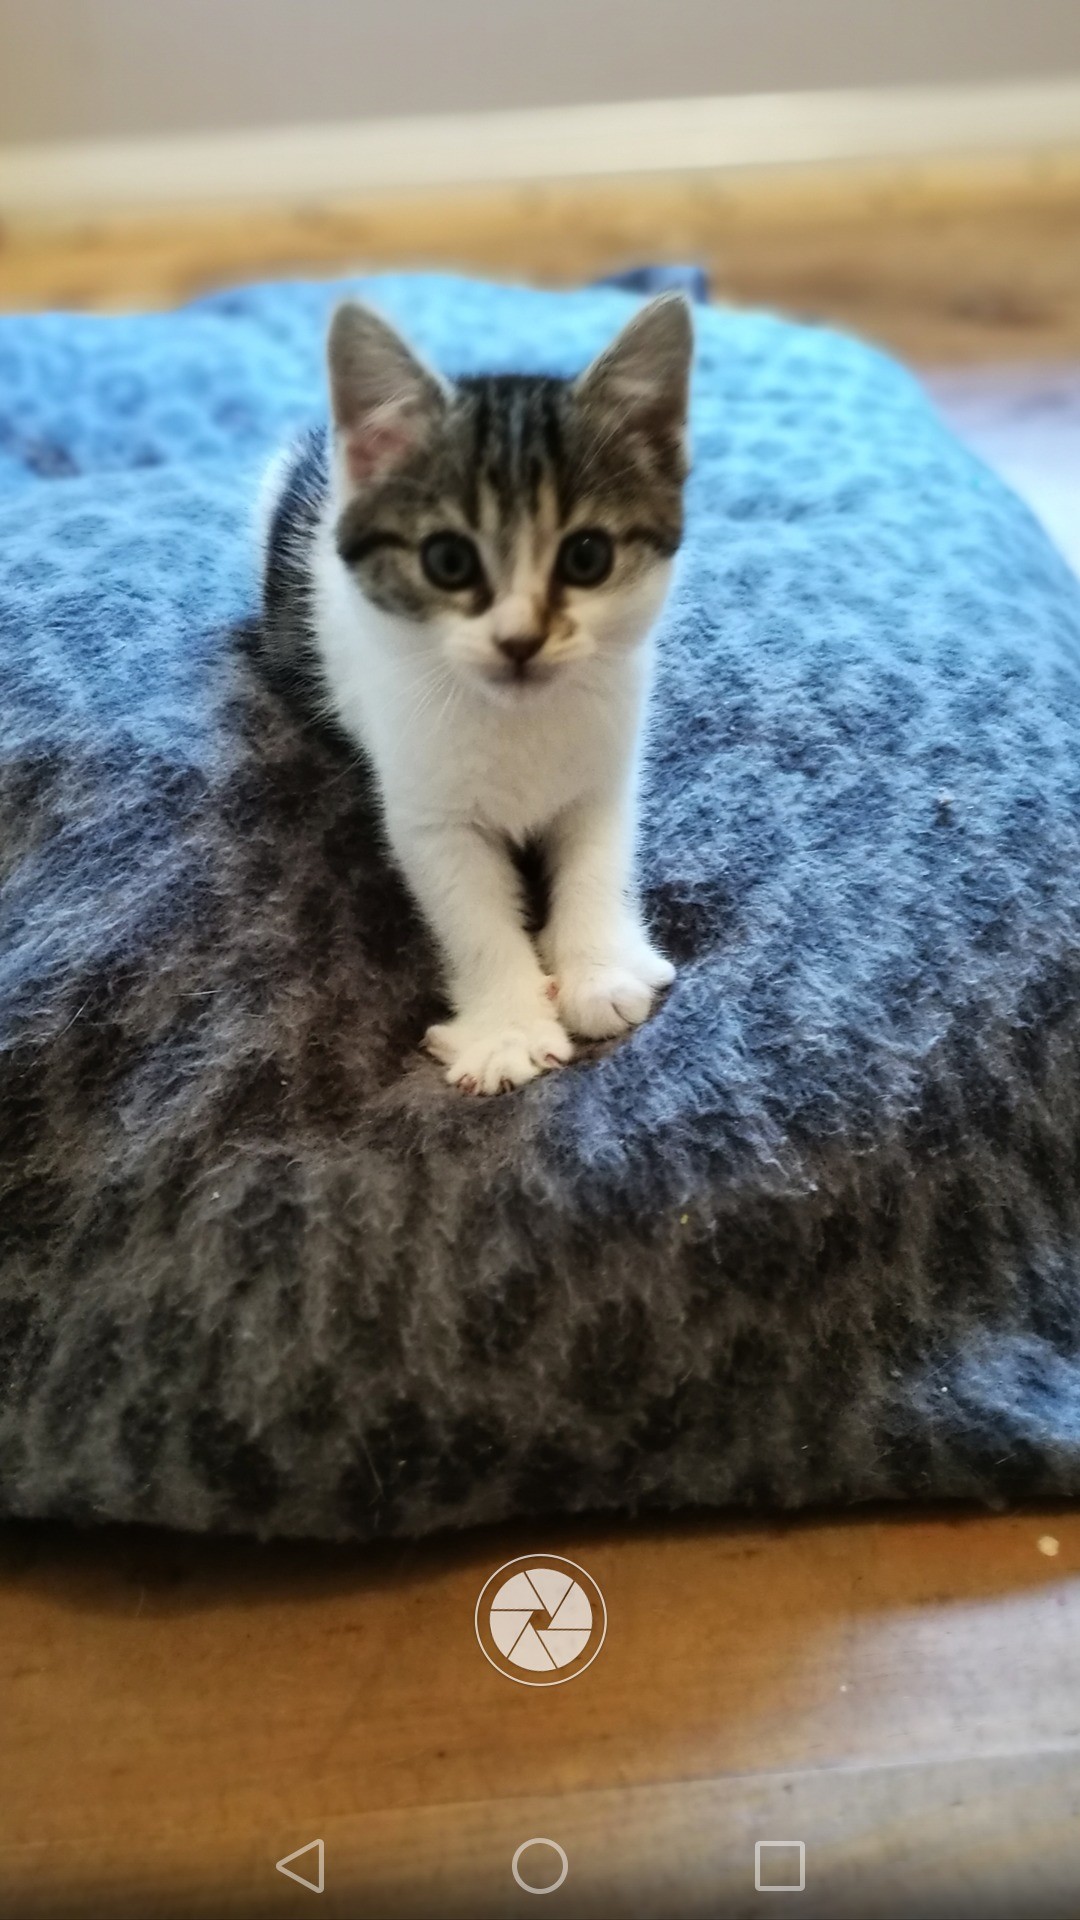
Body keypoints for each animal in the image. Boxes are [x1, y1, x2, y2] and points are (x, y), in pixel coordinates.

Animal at [260, 292, 691, 1094]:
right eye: (449, 561)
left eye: (588, 557)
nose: (520, 640)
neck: (515, 719)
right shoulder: (426, 811)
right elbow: (470, 910)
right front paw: (506, 1030)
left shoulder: (606, 769)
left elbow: (600, 857)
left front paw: (599, 972)